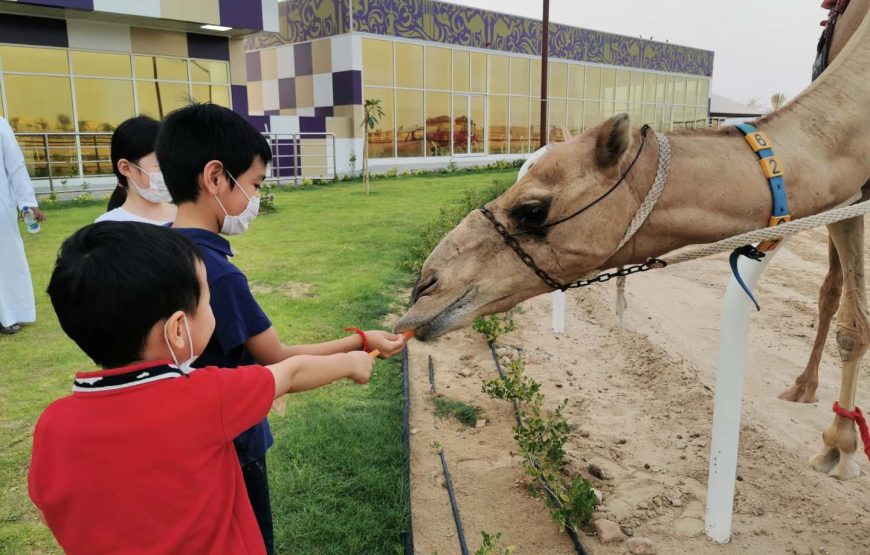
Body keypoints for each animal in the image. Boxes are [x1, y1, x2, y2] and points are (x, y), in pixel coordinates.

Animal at [396, 10, 870, 480]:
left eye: (532, 209)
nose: (424, 288)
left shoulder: (854, 199)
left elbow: (855, 323)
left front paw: (841, 449)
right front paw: (838, 444)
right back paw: (804, 388)